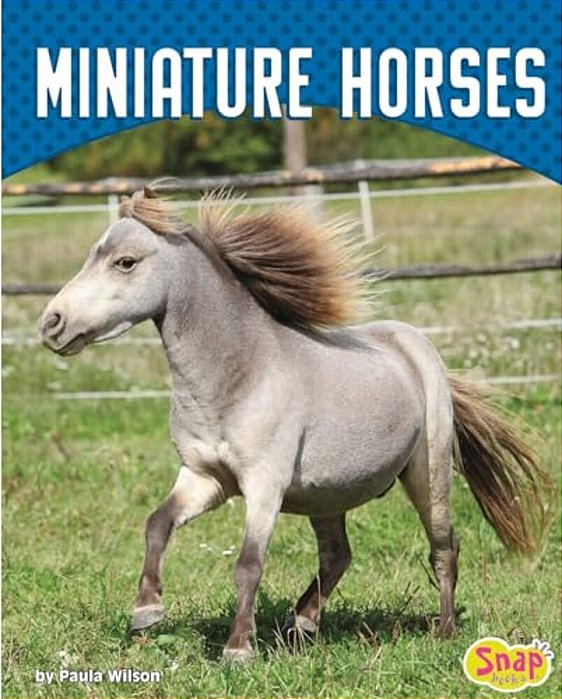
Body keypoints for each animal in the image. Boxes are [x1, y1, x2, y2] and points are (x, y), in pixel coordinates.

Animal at [39, 186, 550, 662]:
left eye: (125, 262)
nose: (51, 324)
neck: (238, 376)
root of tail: (413, 344)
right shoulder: (205, 477)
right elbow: (157, 524)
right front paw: (146, 612)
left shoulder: (264, 484)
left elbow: (248, 563)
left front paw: (238, 650)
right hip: (328, 496)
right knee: (338, 555)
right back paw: (302, 624)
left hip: (428, 473)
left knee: (443, 546)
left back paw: (443, 632)